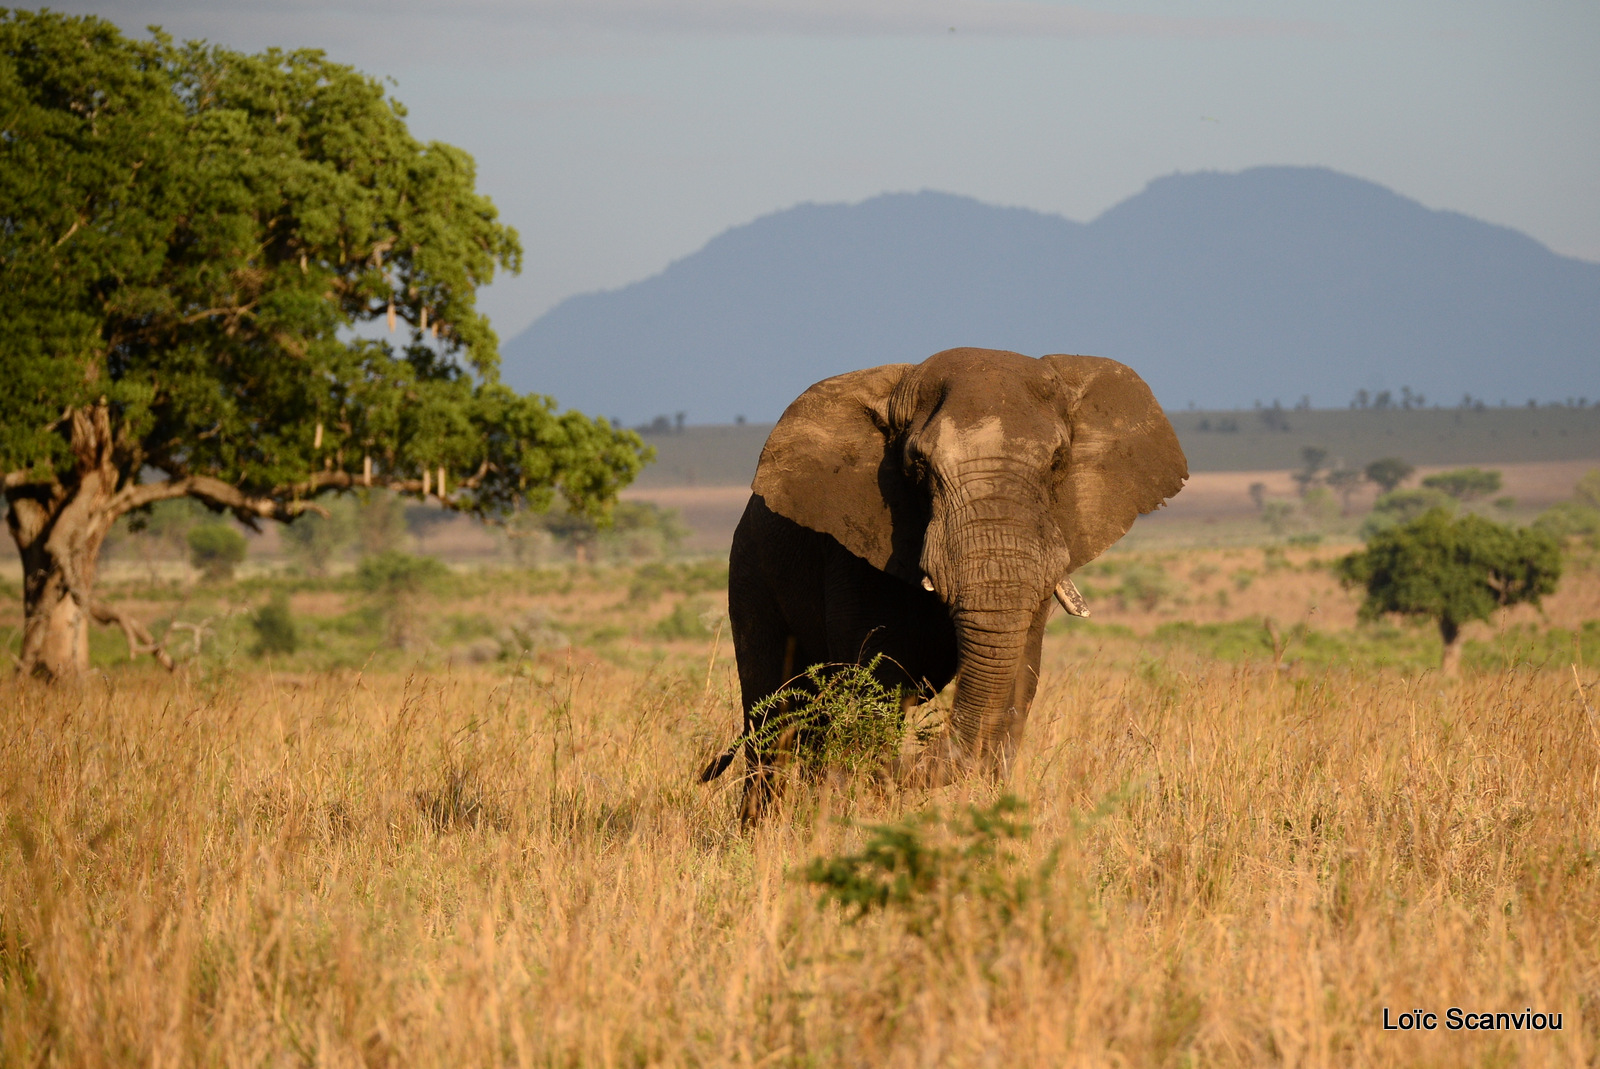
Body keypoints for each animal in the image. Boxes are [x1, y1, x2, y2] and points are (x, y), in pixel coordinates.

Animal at [700, 347, 1190, 825]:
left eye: (1058, 462)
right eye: (918, 465)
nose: (903, 764)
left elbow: (1016, 685)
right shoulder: (852, 555)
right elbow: (872, 684)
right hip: (749, 568)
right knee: (771, 711)